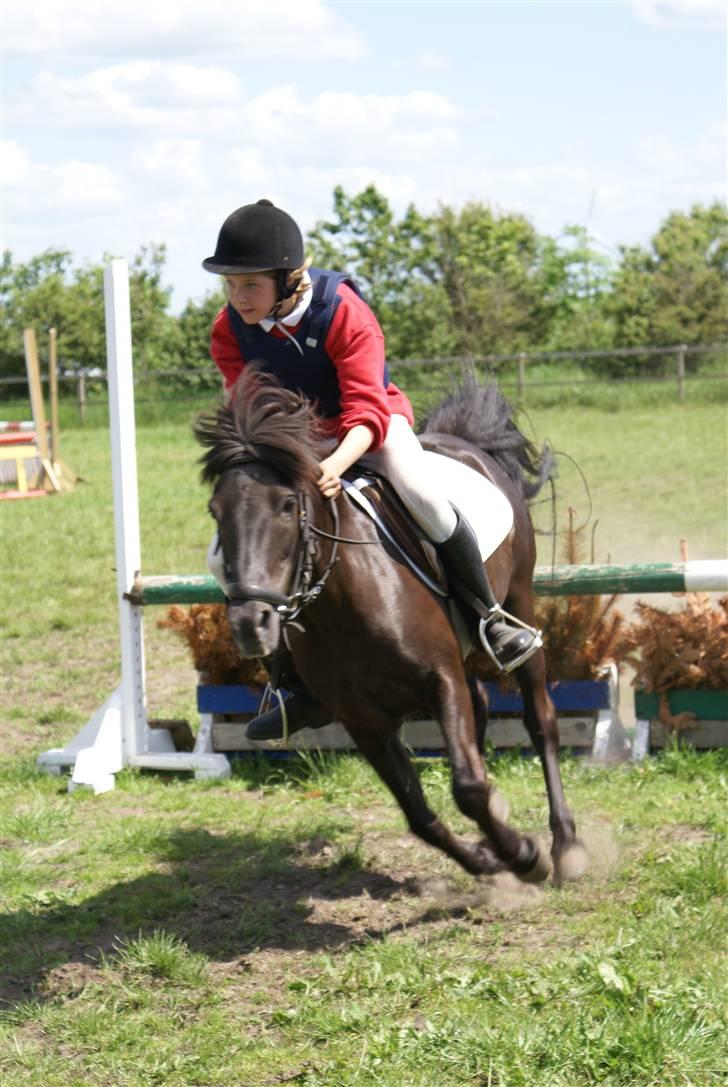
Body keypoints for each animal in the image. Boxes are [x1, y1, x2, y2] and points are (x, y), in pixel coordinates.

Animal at [196, 371, 591, 882]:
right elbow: (417, 811)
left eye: (286, 505)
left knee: (540, 720)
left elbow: (467, 788)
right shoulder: (361, 717)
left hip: (519, 595)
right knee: (481, 707)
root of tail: (462, 442)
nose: (251, 624)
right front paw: (487, 859)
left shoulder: (439, 677)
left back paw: (566, 845)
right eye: (215, 510)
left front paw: (525, 856)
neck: (342, 604)